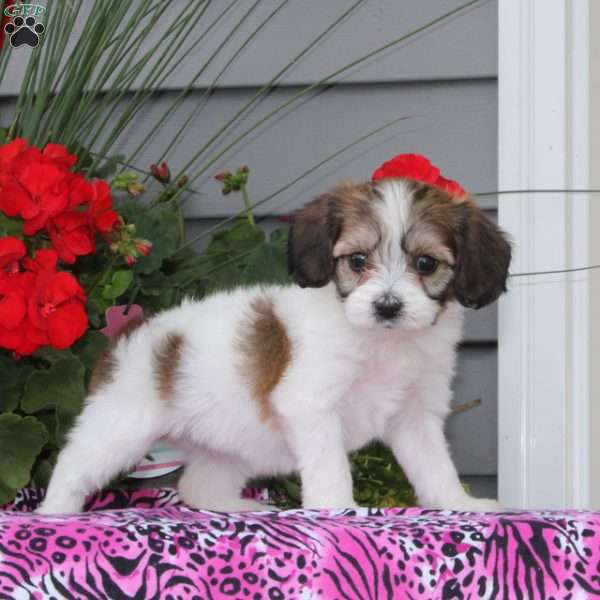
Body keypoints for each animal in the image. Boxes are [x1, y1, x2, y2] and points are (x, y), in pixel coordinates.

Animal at [38, 178, 510, 516]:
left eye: (426, 264)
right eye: (357, 261)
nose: (387, 305)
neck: (381, 342)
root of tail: (130, 332)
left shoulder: (416, 414)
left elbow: (435, 466)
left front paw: (459, 504)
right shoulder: (312, 406)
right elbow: (331, 465)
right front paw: (338, 507)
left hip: (228, 444)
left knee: (197, 485)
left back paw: (238, 506)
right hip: (121, 425)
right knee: (73, 466)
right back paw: (54, 512)